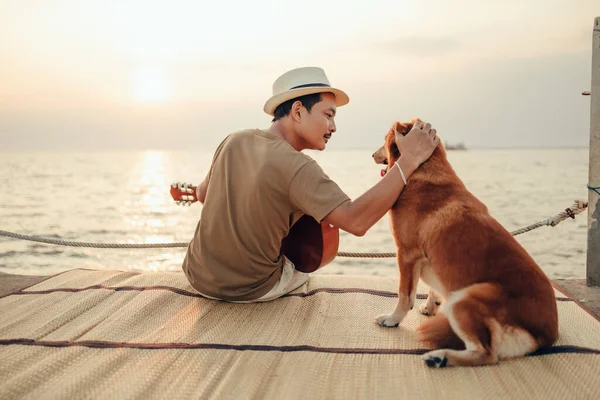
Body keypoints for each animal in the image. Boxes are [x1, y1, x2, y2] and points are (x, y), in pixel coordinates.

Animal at [372, 119, 560, 368]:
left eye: (383, 140)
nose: (372, 155)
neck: (423, 169)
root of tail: (544, 337)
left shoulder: (407, 254)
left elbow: (404, 295)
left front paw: (393, 319)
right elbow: (432, 289)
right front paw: (430, 307)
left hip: (463, 299)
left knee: (487, 355)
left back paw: (439, 357)